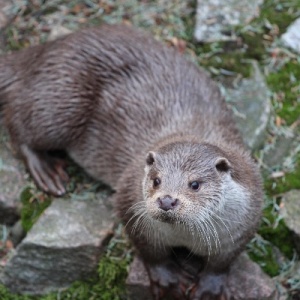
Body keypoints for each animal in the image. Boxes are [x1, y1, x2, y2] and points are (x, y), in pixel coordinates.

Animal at [0, 24, 262, 298]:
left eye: (195, 184)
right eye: (156, 180)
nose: (167, 200)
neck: (185, 238)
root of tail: (44, 51)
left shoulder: (243, 225)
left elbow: (222, 264)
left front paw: (209, 288)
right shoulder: (130, 203)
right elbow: (151, 254)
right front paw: (168, 280)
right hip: (62, 100)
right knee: (19, 122)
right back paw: (47, 171)